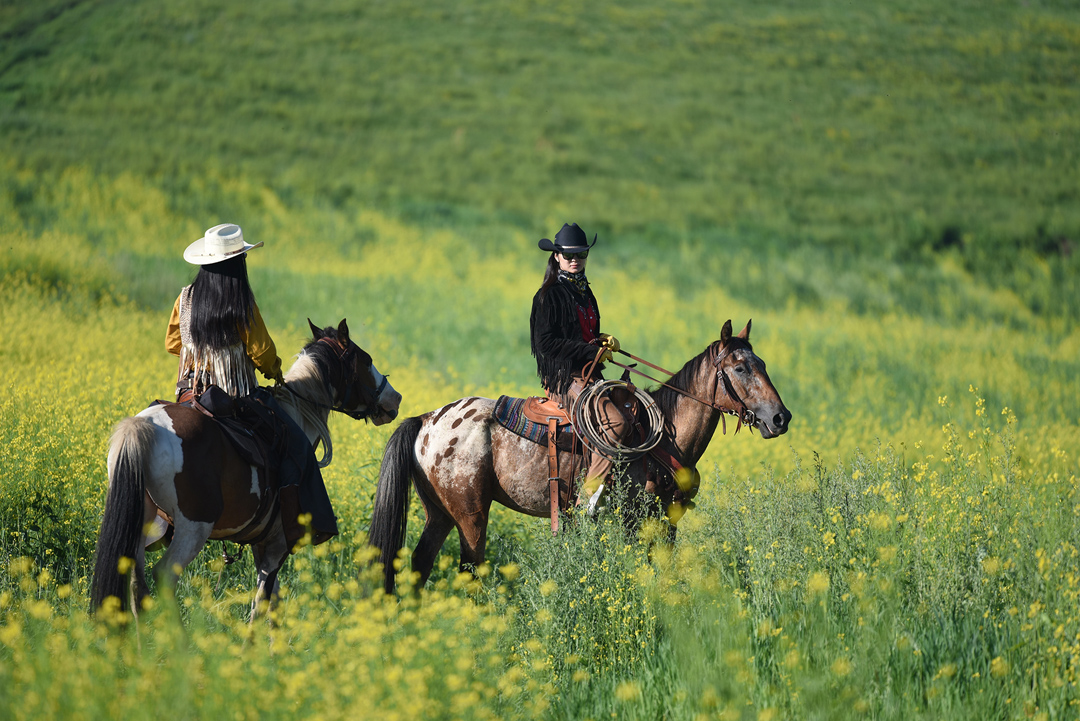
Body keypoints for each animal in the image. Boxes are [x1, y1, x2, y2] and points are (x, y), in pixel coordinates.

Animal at [90, 321, 403, 621]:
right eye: (365, 359)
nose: (395, 398)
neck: (296, 415)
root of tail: (144, 427)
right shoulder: (278, 544)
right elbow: (261, 605)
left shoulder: (262, 544)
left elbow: (273, 603)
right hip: (193, 527)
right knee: (164, 576)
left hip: (142, 526)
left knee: (136, 584)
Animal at [373, 317, 794, 595]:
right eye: (739, 367)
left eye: (762, 364)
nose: (780, 417)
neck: (664, 438)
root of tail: (427, 419)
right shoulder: (632, 519)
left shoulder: (667, 520)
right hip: (470, 514)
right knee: (468, 569)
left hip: (441, 513)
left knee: (419, 563)